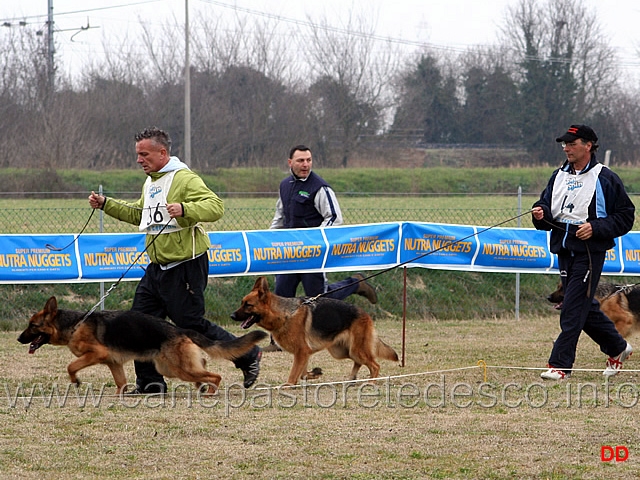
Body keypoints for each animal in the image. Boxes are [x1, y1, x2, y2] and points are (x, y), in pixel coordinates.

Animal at [18, 296, 268, 394]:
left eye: (32, 326)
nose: (19, 339)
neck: (74, 324)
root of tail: (180, 329)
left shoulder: (96, 354)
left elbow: (71, 366)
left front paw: (76, 381)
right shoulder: (113, 363)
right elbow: (120, 383)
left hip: (178, 369)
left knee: (215, 376)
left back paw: (210, 392)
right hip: (170, 367)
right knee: (204, 368)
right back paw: (201, 387)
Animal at [232, 276, 398, 384]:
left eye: (248, 305)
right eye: (241, 303)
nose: (232, 316)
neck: (285, 314)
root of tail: (365, 314)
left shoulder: (301, 352)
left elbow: (294, 374)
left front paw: (288, 386)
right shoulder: (304, 353)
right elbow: (302, 374)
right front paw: (314, 373)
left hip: (356, 349)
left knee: (375, 365)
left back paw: (372, 382)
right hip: (342, 351)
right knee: (359, 362)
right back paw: (352, 378)